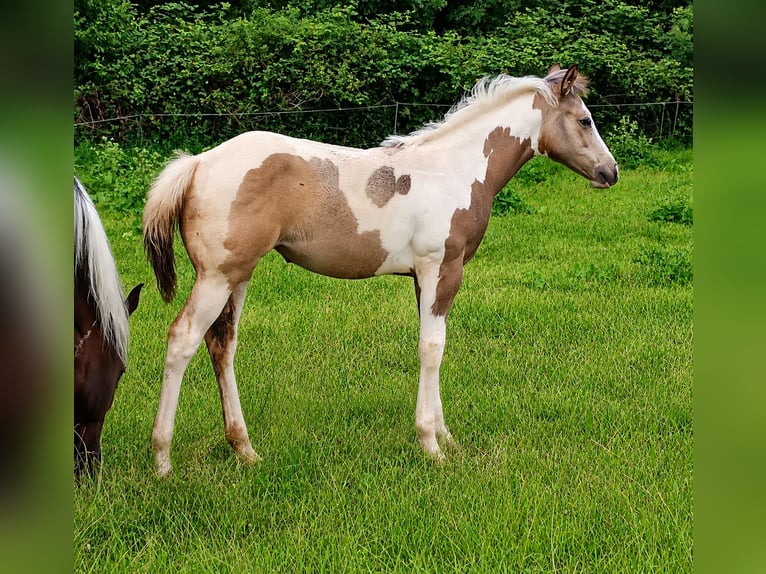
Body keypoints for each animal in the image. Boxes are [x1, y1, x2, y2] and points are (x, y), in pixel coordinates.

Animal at [142, 64, 618, 476]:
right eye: (585, 120)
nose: (609, 172)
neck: (455, 169)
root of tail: (198, 163)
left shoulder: (424, 280)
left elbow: (432, 344)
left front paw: (446, 437)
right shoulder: (441, 270)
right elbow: (432, 349)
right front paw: (431, 446)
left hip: (238, 277)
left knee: (222, 345)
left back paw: (244, 449)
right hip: (217, 277)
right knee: (182, 340)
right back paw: (163, 460)